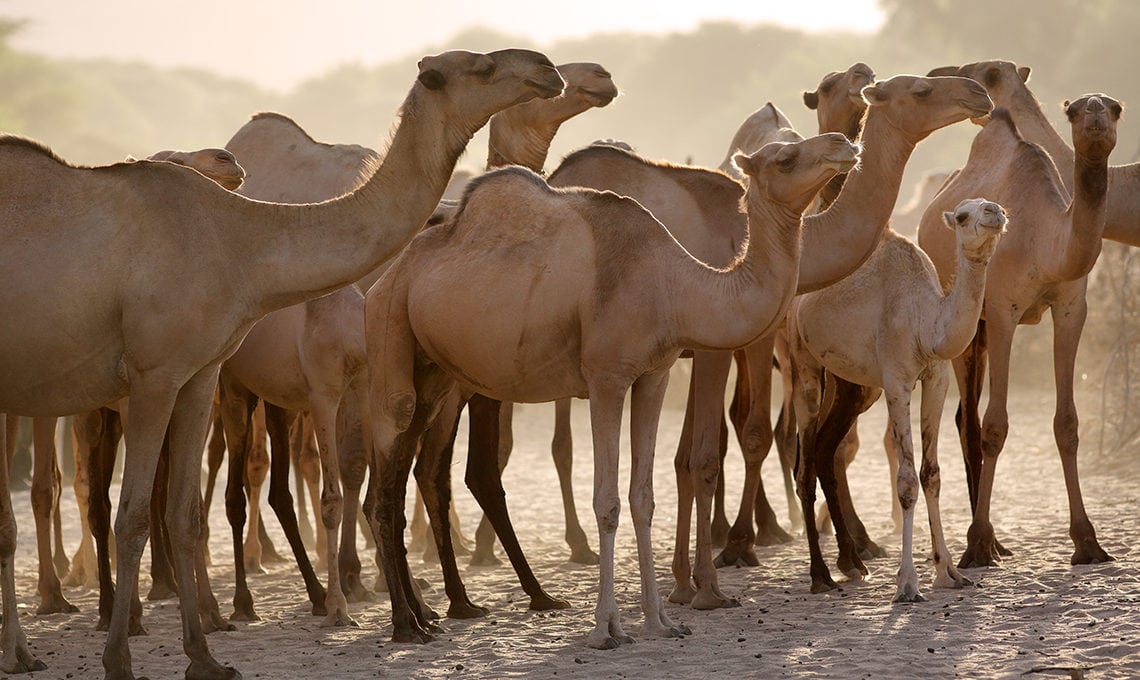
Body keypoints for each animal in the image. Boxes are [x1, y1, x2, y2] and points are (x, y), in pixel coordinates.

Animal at [0, 45, 565, 675]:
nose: (547, 68)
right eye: (481, 67)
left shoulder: (199, 374)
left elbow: (182, 512)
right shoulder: (153, 374)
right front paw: (119, 659)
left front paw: (205, 657)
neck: (236, 240)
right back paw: (29, 645)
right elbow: (135, 516)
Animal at [218, 61, 620, 625]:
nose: (599, 76)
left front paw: (442, 589)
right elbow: (396, 470)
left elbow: (458, 466)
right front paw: (375, 584)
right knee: (248, 469)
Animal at [364, 132, 857, 648]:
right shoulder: (607, 378)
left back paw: (429, 616)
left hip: (436, 371)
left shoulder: (655, 375)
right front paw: (606, 628)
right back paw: (406, 624)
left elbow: (643, 497)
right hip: (389, 326)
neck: (673, 285)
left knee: (405, 469)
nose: (843, 143)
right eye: (785, 157)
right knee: (386, 472)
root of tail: (387, 275)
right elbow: (607, 501)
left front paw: (660, 621)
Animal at [793, 197, 1007, 602]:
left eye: (992, 205)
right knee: (805, 461)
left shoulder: (936, 378)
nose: (994, 211)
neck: (927, 322)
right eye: (962, 216)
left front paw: (949, 572)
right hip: (802, 360)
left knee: (826, 449)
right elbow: (907, 481)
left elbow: (931, 474)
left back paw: (852, 564)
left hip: (851, 383)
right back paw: (819, 575)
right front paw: (907, 583)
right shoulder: (897, 380)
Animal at [916, 94, 1121, 568]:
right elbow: (995, 426)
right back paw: (981, 542)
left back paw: (997, 541)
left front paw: (1087, 542)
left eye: (1115, 107)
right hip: (967, 323)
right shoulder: (1002, 310)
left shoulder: (1071, 308)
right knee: (971, 421)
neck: (1045, 241)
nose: (1095, 109)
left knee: (964, 416)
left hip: (981, 331)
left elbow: (1067, 423)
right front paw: (976, 543)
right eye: (1074, 110)